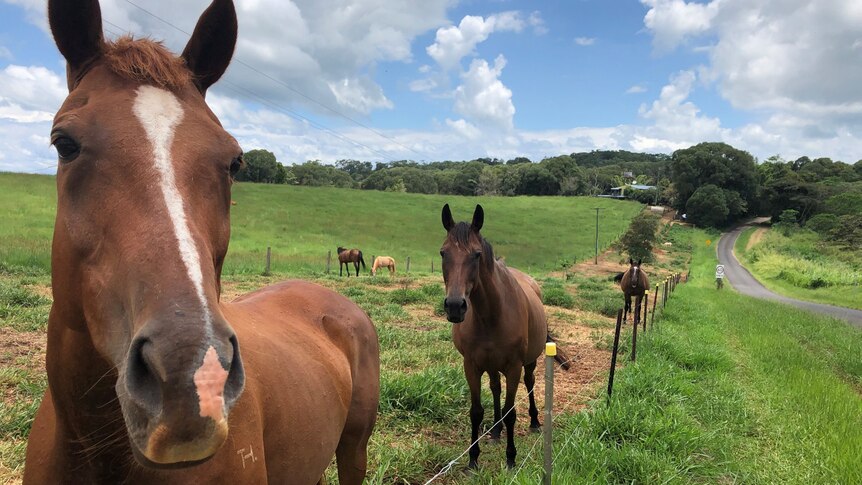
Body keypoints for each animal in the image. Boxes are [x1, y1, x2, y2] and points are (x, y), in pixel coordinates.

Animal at [438, 204, 572, 468]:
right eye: (443, 253)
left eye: (477, 254)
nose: (455, 306)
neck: (491, 315)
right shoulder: (471, 365)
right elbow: (476, 411)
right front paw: (473, 459)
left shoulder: (513, 367)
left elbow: (511, 411)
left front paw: (511, 458)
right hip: (491, 365)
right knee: (495, 387)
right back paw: (496, 431)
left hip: (528, 363)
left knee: (529, 383)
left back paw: (534, 422)